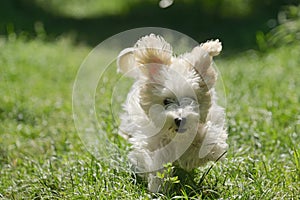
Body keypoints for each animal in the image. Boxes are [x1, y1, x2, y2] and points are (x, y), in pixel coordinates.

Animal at [116, 34, 227, 192]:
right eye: (167, 101)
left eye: (192, 99)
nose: (180, 119)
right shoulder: (150, 140)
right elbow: (157, 160)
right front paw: (158, 185)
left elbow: (208, 144)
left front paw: (189, 158)